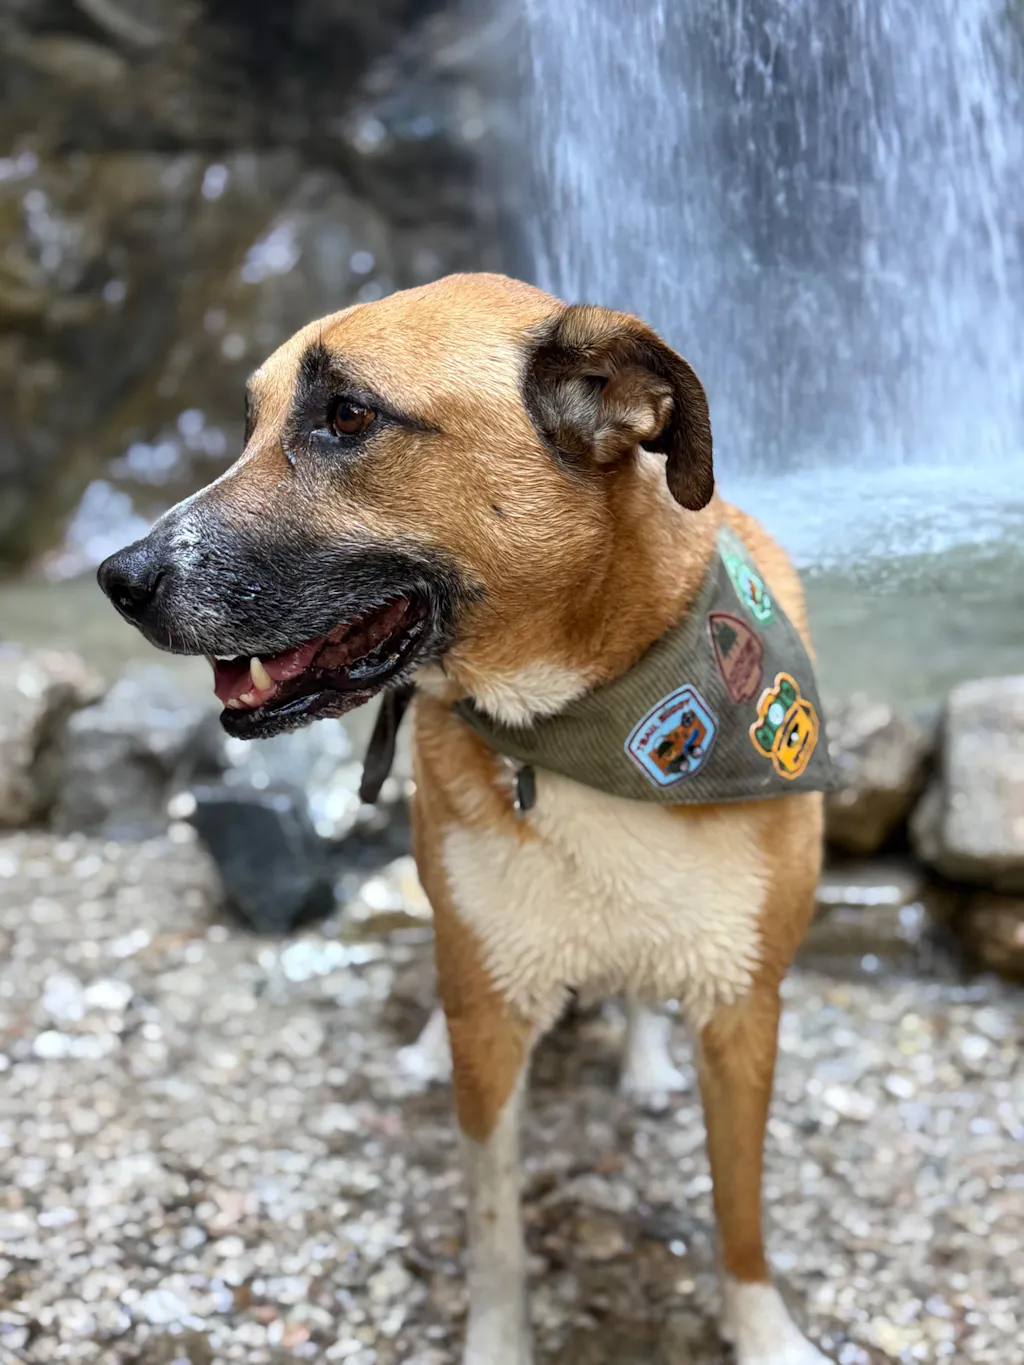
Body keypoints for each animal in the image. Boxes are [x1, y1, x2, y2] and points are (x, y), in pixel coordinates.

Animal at [99, 272, 832, 1365]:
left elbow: (739, 1216)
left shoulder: (747, 1011)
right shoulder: (489, 1019)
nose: (118, 579)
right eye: (247, 423)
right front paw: (497, 1336)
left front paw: (765, 1331)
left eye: (346, 416)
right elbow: (494, 1225)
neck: (580, 725)